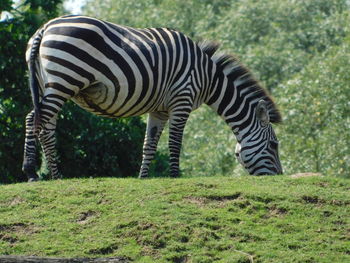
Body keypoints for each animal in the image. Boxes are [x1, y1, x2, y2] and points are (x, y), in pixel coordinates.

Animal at [21, 15, 284, 183]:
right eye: (274, 145)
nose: (280, 178)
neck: (209, 77)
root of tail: (44, 28)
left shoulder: (160, 109)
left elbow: (150, 144)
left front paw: (143, 177)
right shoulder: (182, 99)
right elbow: (175, 142)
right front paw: (175, 176)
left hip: (49, 84)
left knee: (42, 124)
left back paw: (55, 176)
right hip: (64, 80)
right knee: (36, 120)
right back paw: (34, 173)